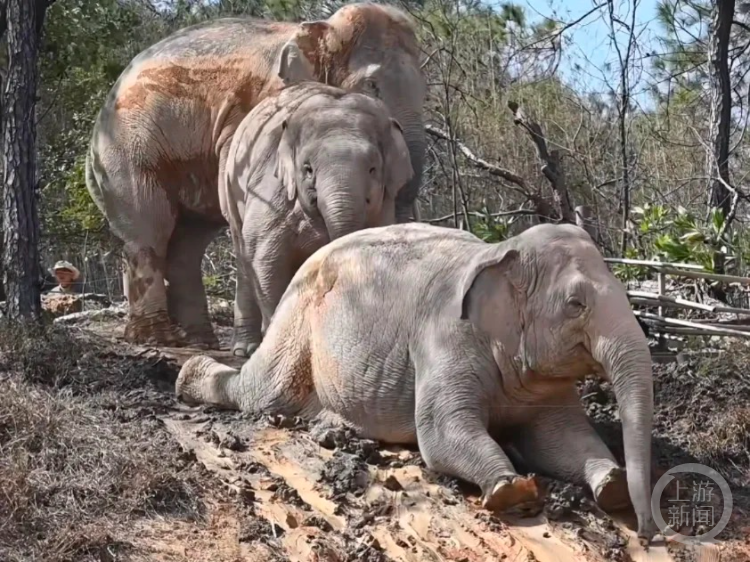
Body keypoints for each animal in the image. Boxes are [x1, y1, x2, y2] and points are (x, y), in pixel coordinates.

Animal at [175, 222, 657, 543]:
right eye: (576, 304)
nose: (648, 533)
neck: (500, 251)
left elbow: (563, 440)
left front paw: (613, 486)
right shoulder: (443, 339)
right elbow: (439, 434)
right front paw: (511, 489)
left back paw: (334, 427)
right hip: (297, 317)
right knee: (262, 393)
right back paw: (186, 378)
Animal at [223, 82, 413, 357]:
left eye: (372, 170)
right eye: (308, 169)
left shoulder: (383, 208)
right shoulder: (272, 192)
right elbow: (266, 259)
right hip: (229, 187)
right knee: (243, 253)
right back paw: (244, 350)